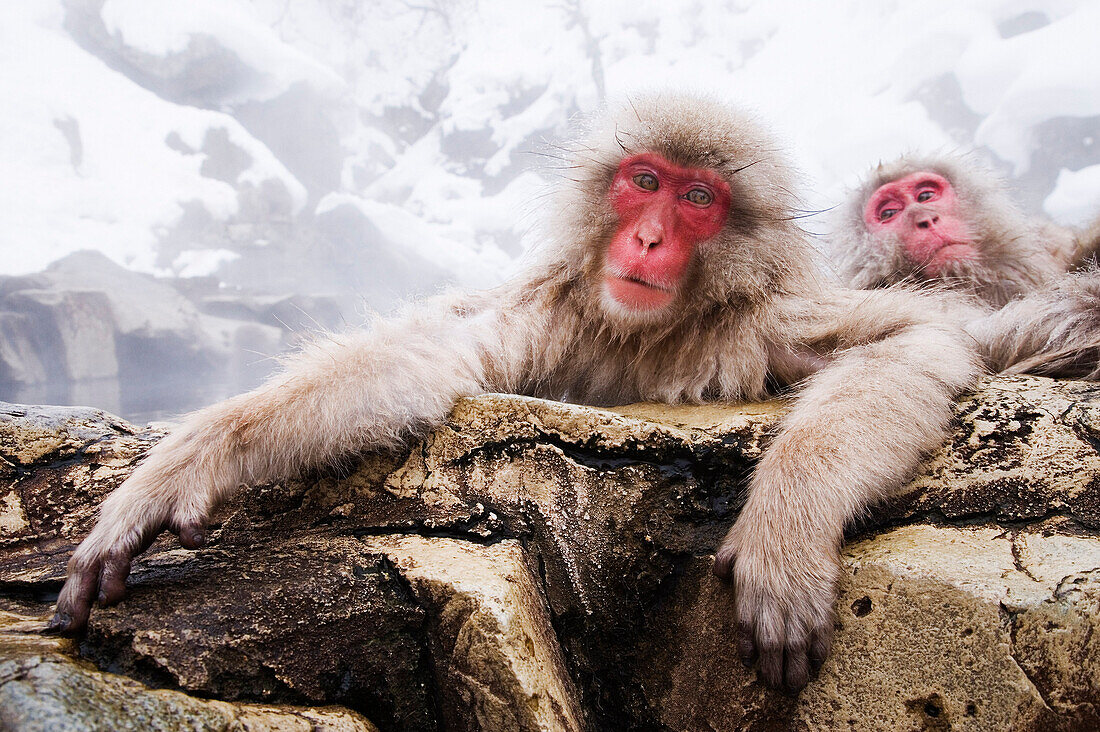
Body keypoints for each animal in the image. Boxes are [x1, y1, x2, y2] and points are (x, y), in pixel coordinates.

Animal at [49, 95, 981, 691]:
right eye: (645, 182)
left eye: (698, 198)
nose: (649, 238)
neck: (645, 332)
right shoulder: (555, 318)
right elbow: (429, 359)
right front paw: (187, 464)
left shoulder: (763, 320)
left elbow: (920, 338)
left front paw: (786, 530)